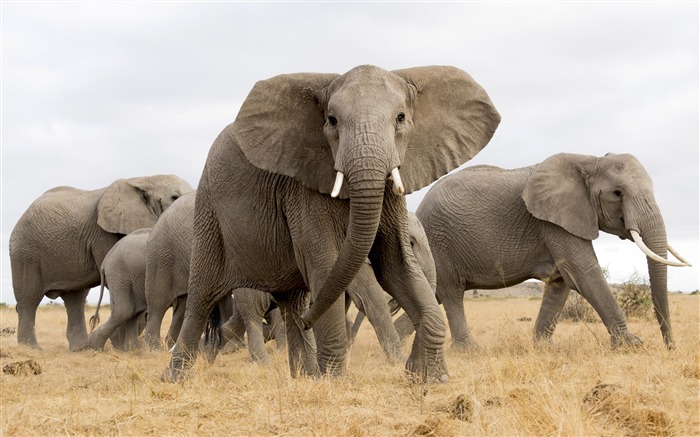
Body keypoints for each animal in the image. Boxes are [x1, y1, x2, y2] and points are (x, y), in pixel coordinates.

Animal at [8, 175, 194, 350]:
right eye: (174, 197)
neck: (145, 179)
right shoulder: (103, 234)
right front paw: (121, 345)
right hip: (25, 252)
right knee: (29, 298)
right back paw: (33, 348)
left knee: (75, 298)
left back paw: (80, 348)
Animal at [165, 63, 500, 382]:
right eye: (332, 120)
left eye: (401, 118)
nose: (308, 323)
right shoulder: (303, 190)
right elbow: (327, 265)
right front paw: (335, 382)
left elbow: (397, 264)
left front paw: (429, 377)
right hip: (209, 211)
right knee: (202, 295)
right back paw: (176, 378)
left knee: (294, 302)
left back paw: (304, 374)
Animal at [412, 152, 692, 350]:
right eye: (617, 193)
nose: (670, 348)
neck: (589, 161)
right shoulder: (553, 221)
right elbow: (584, 272)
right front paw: (632, 345)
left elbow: (560, 280)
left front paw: (543, 347)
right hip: (438, 241)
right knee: (451, 293)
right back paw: (469, 351)